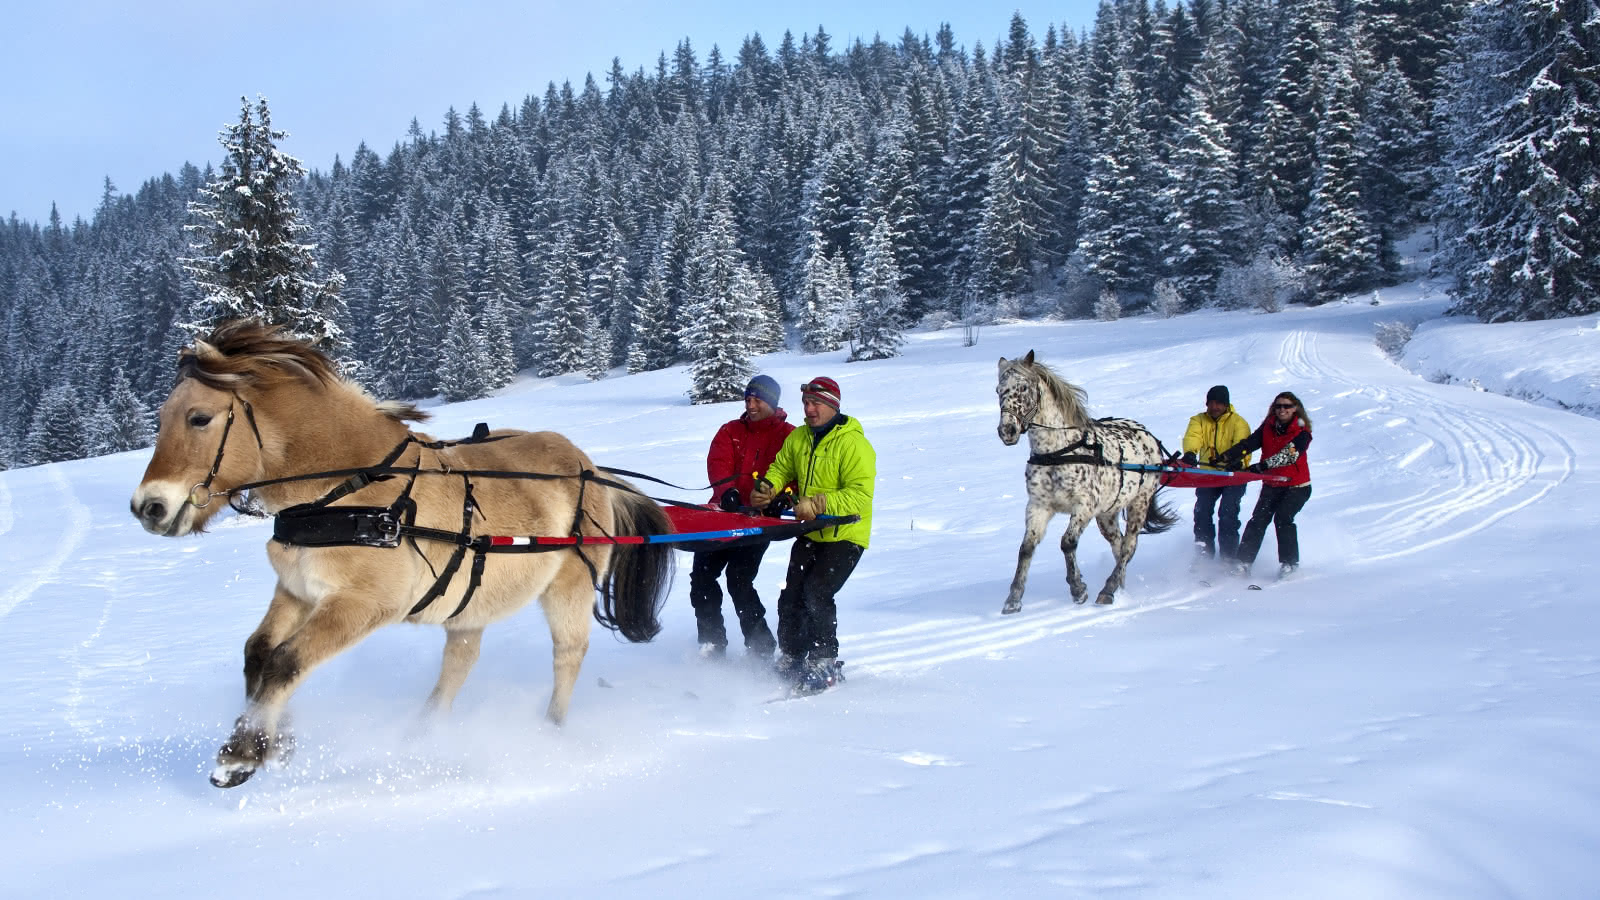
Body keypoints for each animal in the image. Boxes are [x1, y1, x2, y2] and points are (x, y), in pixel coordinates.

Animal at [128, 320, 672, 784]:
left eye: (199, 418)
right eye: (161, 419)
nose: (147, 507)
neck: (348, 489)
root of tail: (589, 465)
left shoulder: (362, 605)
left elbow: (286, 661)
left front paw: (240, 754)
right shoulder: (297, 589)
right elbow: (258, 653)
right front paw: (276, 741)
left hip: (568, 587)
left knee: (567, 656)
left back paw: (549, 733)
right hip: (472, 601)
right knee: (459, 662)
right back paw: (423, 736)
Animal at [992, 350, 1184, 608]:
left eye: (1023, 387)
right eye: (998, 390)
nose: (1007, 431)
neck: (1058, 452)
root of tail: (1147, 435)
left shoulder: (1084, 506)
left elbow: (1067, 542)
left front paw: (1078, 588)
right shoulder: (1038, 507)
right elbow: (1026, 548)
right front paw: (1013, 599)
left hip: (1139, 503)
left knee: (1128, 547)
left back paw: (1108, 589)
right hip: (1107, 514)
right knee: (1118, 545)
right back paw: (1119, 586)